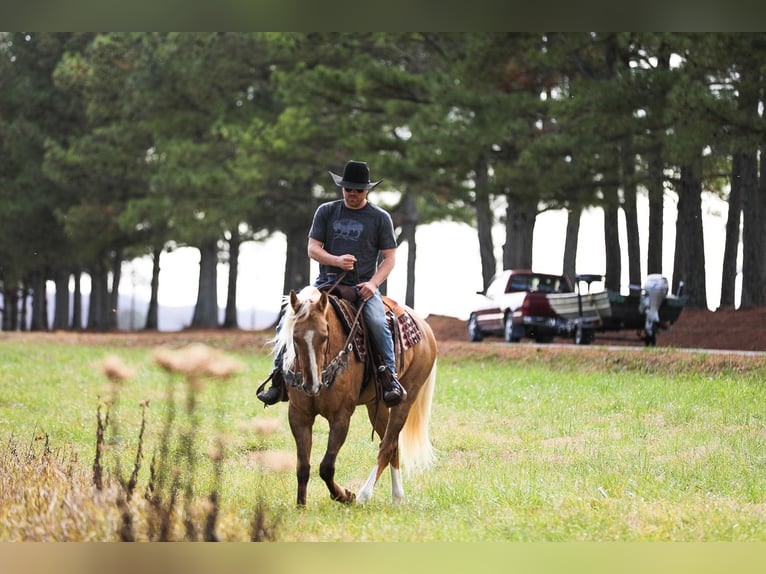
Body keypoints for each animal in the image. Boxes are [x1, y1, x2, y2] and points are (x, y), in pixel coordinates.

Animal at [272, 286, 438, 506]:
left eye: (324, 336)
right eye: (295, 337)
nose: (311, 385)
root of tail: (425, 327)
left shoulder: (341, 416)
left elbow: (326, 467)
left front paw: (344, 495)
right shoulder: (299, 415)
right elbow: (303, 467)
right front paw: (301, 506)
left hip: (407, 397)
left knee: (387, 445)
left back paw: (364, 494)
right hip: (378, 404)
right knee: (392, 444)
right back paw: (396, 496)